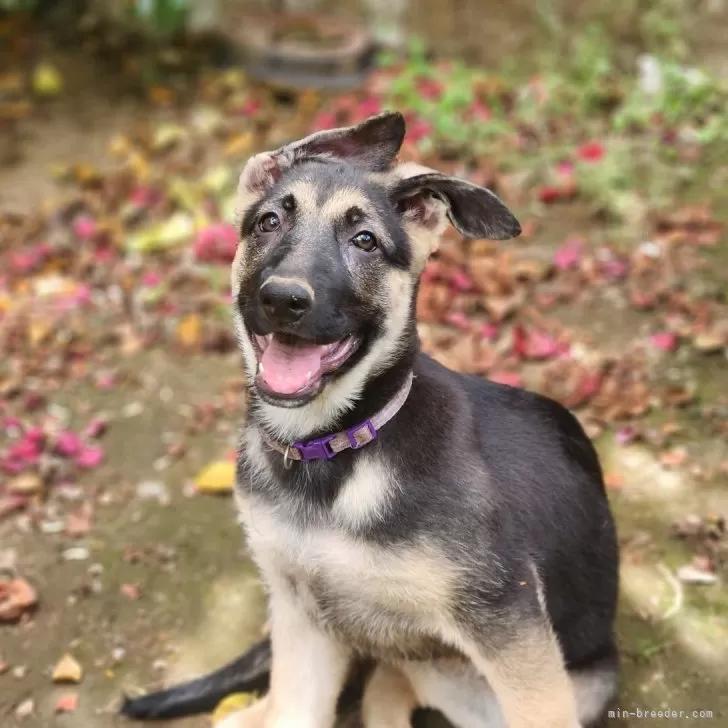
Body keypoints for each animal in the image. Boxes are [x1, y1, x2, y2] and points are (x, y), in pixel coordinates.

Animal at [121, 111, 620, 724]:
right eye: (267, 222)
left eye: (365, 242)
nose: (283, 299)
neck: (334, 448)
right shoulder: (303, 618)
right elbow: (295, 708)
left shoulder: (513, 635)